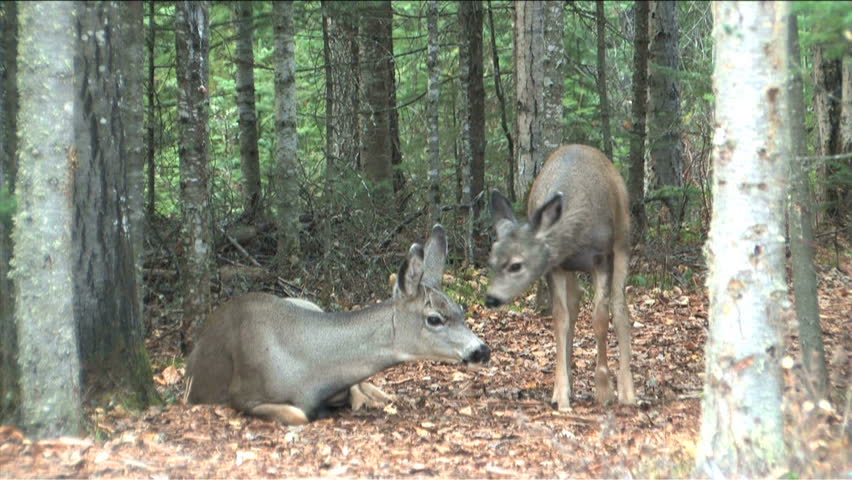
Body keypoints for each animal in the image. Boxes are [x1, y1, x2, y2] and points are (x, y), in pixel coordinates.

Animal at [485, 144, 636, 411]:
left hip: (622, 238)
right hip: (569, 268)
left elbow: (599, 317)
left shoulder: (601, 257)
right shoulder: (553, 266)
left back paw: (628, 393)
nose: (491, 298)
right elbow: (560, 318)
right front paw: (561, 392)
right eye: (491, 261)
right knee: (575, 302)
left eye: (516, 265)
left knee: (619, 306)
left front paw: (604, 390)